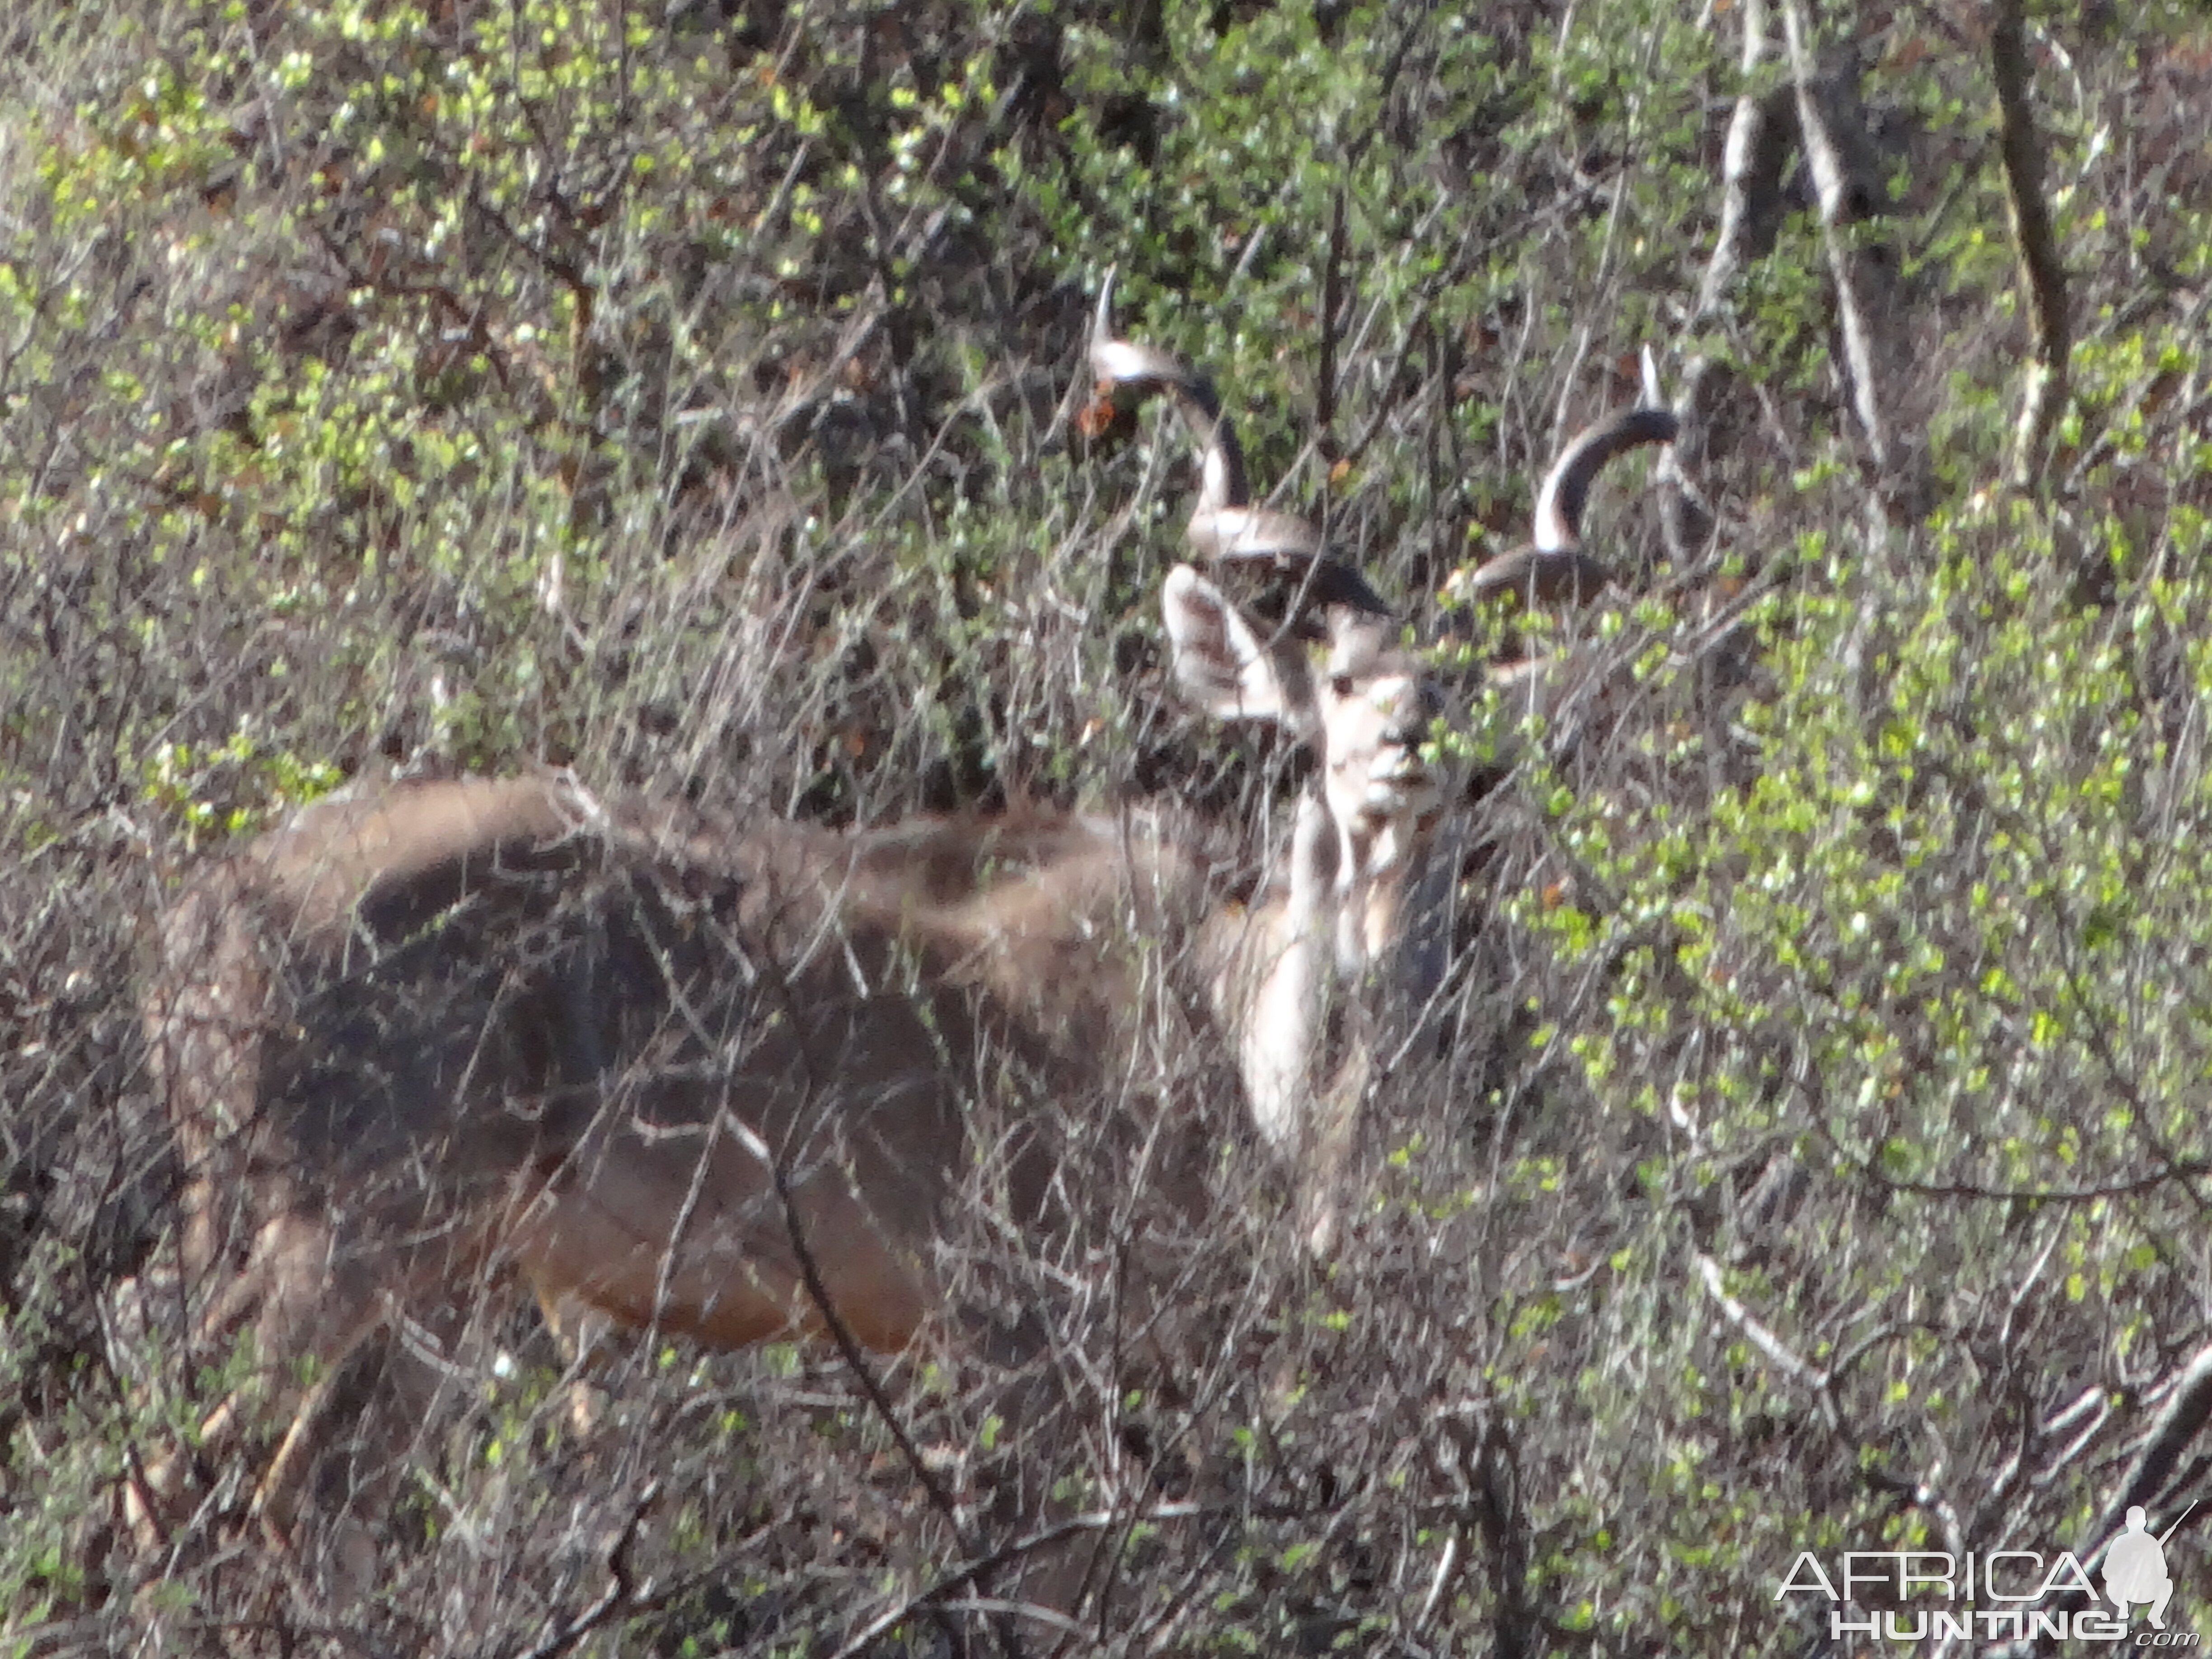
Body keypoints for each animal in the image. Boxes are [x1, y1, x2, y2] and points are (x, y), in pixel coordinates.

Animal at [134, 283, 1451, 1584]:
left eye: (1457, 695)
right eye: (1338, 687)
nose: (1406, 751)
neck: (1226, 1012)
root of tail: (206, 910)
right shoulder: (1025, 1340)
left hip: (434, 1280)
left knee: (306, 1498)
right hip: (344, 1240)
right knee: (191, 1484)